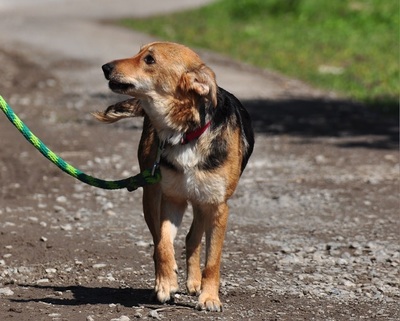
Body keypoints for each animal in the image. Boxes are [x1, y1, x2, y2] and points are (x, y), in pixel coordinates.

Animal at [94, 41, 253, 312]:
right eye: (139, 52)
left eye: (149, 59)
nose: (106, 67)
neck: (185, 133)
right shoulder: (172, 200)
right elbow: (163, 245)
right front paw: (166, 283)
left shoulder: (217, 207)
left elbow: (213, 261)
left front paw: (210, 297)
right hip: (151, 196)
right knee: (161, 239)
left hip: (201, 201)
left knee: (192, 238)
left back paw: (195, 283)